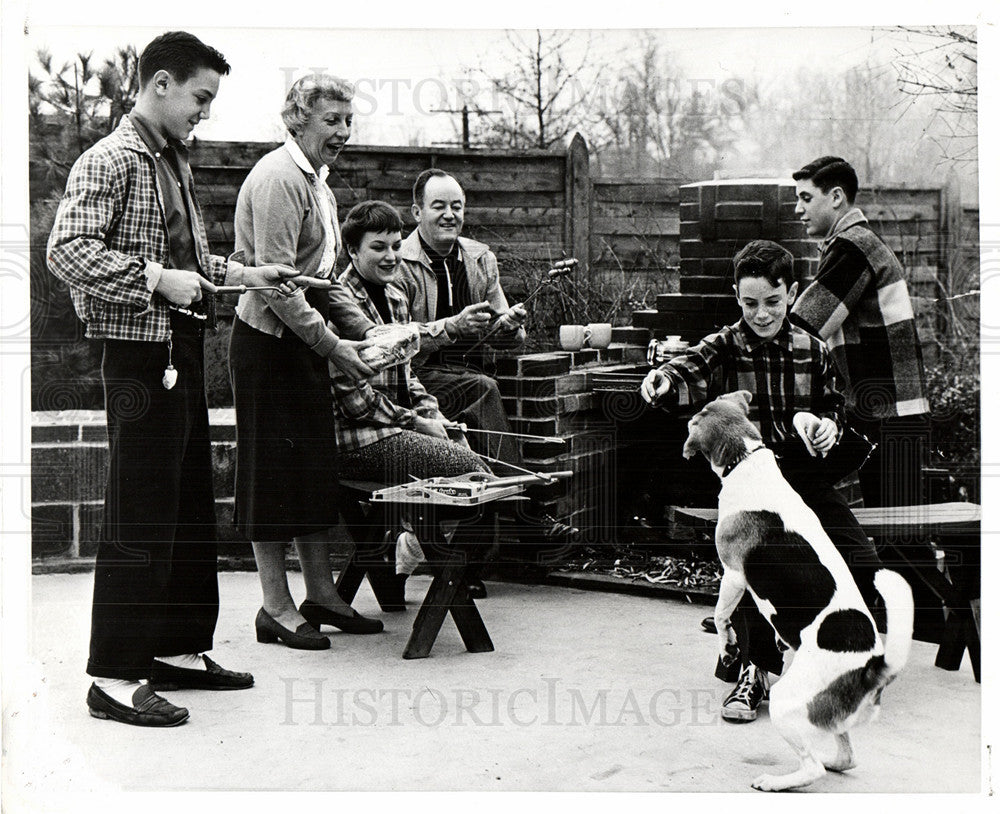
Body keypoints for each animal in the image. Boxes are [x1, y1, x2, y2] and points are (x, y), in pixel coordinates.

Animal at [684, 392, 912, 792]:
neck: (746, 460)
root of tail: (871, 667)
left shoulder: (734, 575)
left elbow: (723, 617)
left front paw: (727, 646)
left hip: (785, 701)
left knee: (812, 768)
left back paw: (777, 781)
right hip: (827, 715)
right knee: (846, 757)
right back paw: (832, 761)